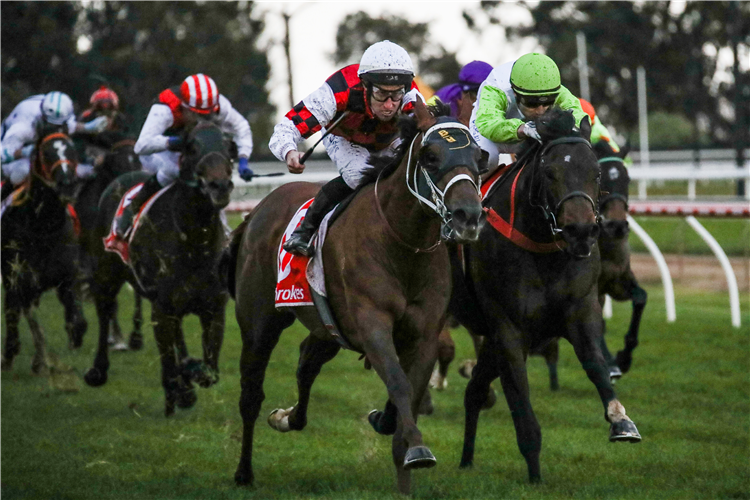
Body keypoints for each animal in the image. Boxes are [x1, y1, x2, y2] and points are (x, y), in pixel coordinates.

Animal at [0, 131, 87, 374]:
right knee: (14, 311)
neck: (43, 227)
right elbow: (22, 317)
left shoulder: (68, 279)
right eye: (47, 153)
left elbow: (78, 321)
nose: (67, 184)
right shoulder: (19, 277)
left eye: (72, 150)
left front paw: (73, 339)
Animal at [229, 99, 488, 494]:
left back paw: (288, 418)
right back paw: (244, 472)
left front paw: (397, 447)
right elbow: (398, 381)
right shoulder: (372, 325)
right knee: (250, 394)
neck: (402, 243)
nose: (468, 216)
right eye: (430, 156)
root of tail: (256, 212)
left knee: (307, 362)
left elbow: (409, 393)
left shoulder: (424, 333)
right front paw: (417, 450)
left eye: (479, 157)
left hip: (327, 328)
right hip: (259, 323)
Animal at [452, 108, 640, 484]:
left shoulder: (580, 311)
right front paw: (535, 474)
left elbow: (596, 365)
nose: (582, 231)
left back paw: (466, 460)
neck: (541, 246)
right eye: (550, 172)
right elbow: (520, 398)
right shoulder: (509, 330)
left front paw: (621, 421)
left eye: (596, 172)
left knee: (474, 392)